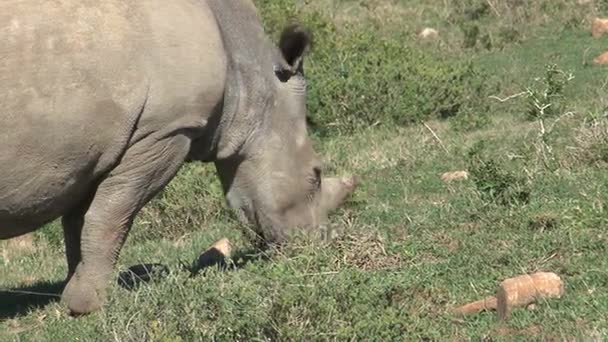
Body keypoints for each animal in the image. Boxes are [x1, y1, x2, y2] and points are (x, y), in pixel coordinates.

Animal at [0, 0, 356, 316]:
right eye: (315, 176)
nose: (319, 242)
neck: (248, 77)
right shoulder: (164, 131)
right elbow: (112, 216)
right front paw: (91, 305)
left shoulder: (98, 148)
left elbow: (81, 221)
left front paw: (76, 293)